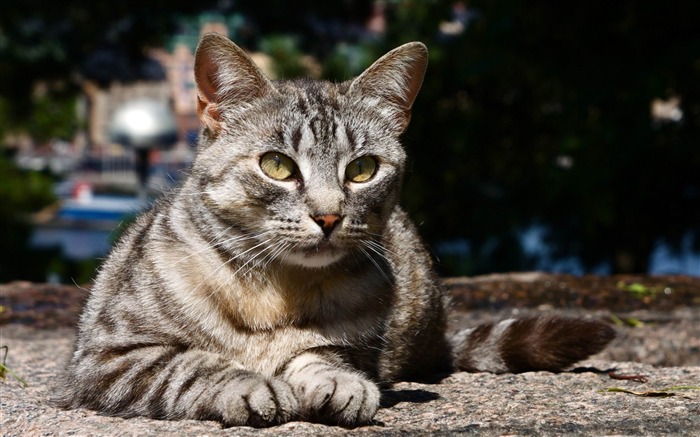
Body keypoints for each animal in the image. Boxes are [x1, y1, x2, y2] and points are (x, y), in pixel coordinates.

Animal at [63, 33, 616, 426]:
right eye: (277, 165)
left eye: (363, 169)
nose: (328, 216)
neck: (275, 289)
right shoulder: (109, 358)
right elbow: (193, 365)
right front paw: (247, 383)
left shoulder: (355, 345)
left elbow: (323, 355)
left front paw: (334, 382)